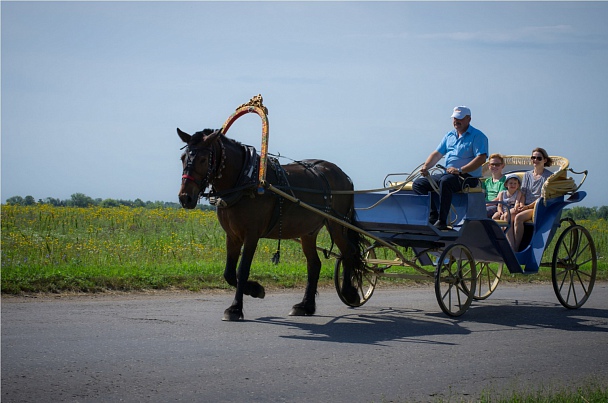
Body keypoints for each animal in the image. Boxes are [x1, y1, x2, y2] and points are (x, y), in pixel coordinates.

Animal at [177, 129, 366, 322]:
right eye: (183, 157)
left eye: (203, 159)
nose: (185, 197)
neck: (245, 180)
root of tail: (344, 176)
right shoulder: (233, 236)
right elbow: (229, 273)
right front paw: (255, 289)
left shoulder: (251, 235)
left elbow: (242, 270)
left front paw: (235, 308)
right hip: (309, 231)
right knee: (314, 264)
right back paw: (305, 306)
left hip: (337, 224)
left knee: (348, 251)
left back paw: (349, 293)